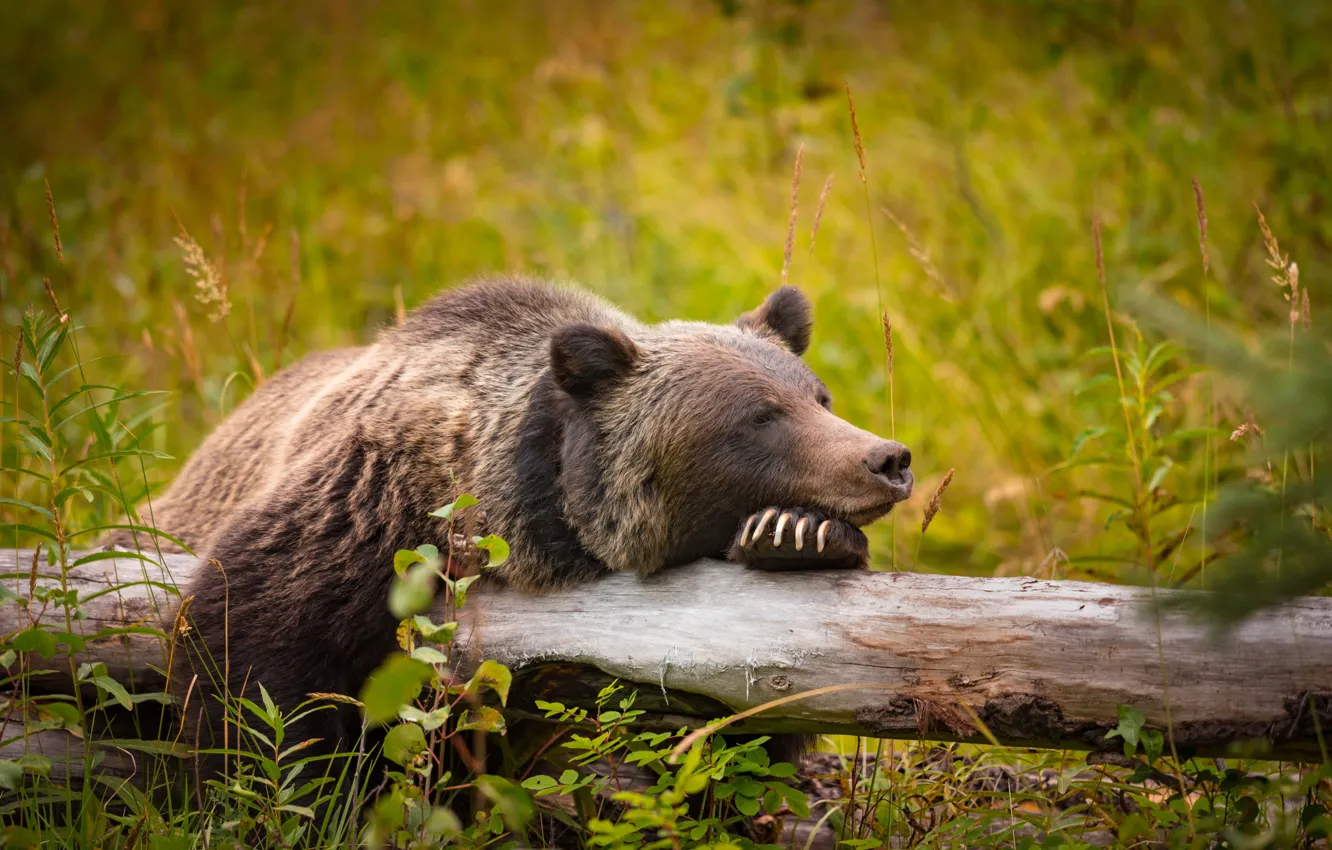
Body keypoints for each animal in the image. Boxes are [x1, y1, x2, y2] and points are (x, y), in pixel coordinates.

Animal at [118, 277, 913, 790]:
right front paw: (283, 787)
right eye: (758, 417)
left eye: (818, 397)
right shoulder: (366, 511)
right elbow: (252, 654)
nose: (887, 458)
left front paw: (796, 536)